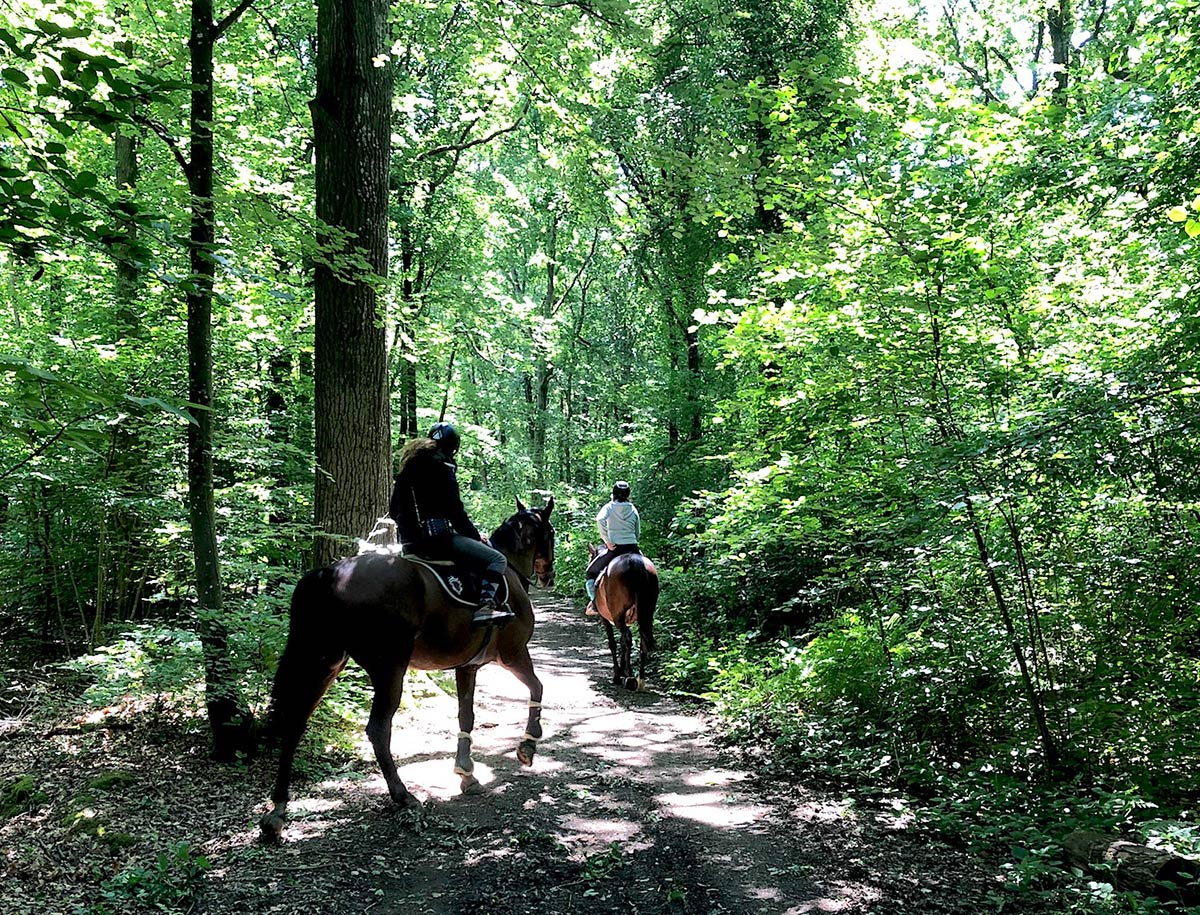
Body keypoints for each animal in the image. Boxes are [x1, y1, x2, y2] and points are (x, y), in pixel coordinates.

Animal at [259, 494, 556, 835]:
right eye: (552, 533)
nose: (549, 575)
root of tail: (330, 574)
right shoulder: (513, 654)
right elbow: (538, 688)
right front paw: (528, 746)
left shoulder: (467, 667)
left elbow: (465, 716)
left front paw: (466, 774)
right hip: (389, 670)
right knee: (377, 730)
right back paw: (403, 795)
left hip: (324, 663)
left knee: (295, 722)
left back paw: (278, 809)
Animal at [588, 542, 662, 682]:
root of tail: (633, 561)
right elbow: (622, 642)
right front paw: (622, 669)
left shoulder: (604, 618)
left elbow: (613, 643)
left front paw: (618, 673)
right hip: (646, 614)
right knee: (643, 639)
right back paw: (640, 679)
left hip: (617, 616)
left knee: (628, 637)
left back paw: (630, 675)